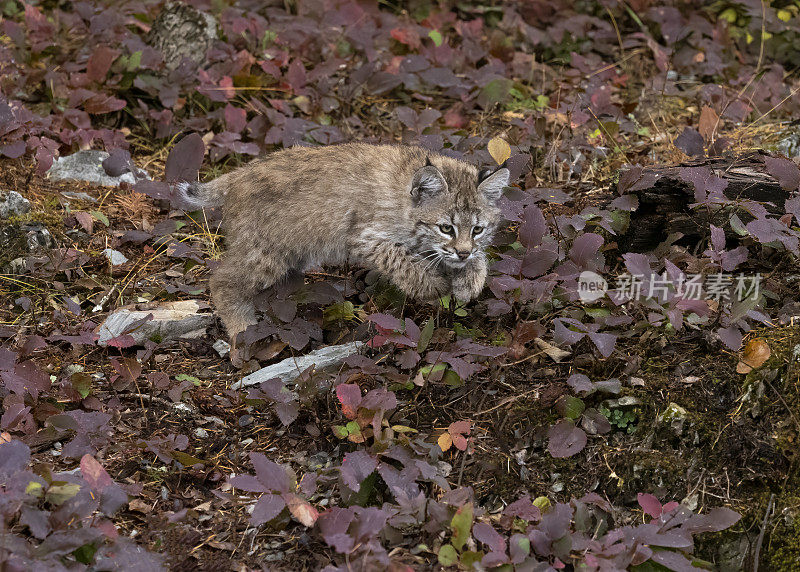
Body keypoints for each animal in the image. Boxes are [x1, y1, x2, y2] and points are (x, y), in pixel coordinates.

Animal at [177, 145, 510, 346]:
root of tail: (239, 173)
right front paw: (433, 287)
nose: (463, 252)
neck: (406, 197)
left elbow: (476, 257)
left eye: (478, 229)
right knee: (221, 280)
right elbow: (401, 259)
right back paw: (243, 332)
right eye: (446, 228)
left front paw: (470, 280)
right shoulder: (365, 237)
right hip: (266, 251)